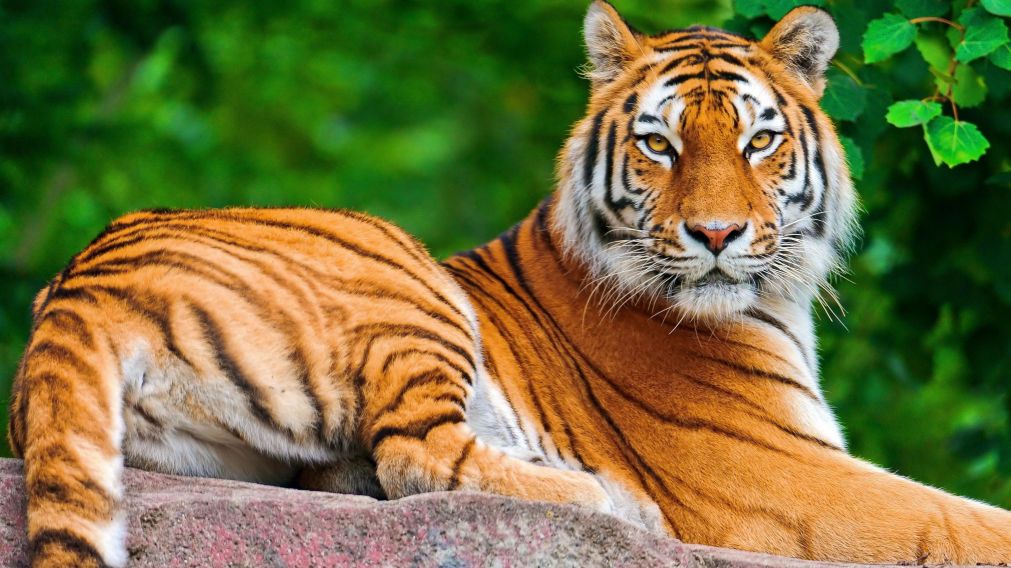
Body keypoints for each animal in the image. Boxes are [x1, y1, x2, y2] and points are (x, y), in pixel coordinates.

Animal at [8, 2, 1011, 566]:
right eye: (659, 144)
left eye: (758, 140)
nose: (717, 235)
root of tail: (78, 282)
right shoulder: (775, 473)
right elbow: (964, 523)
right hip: (398, 271)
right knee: (415, 454)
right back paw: (607, 504)